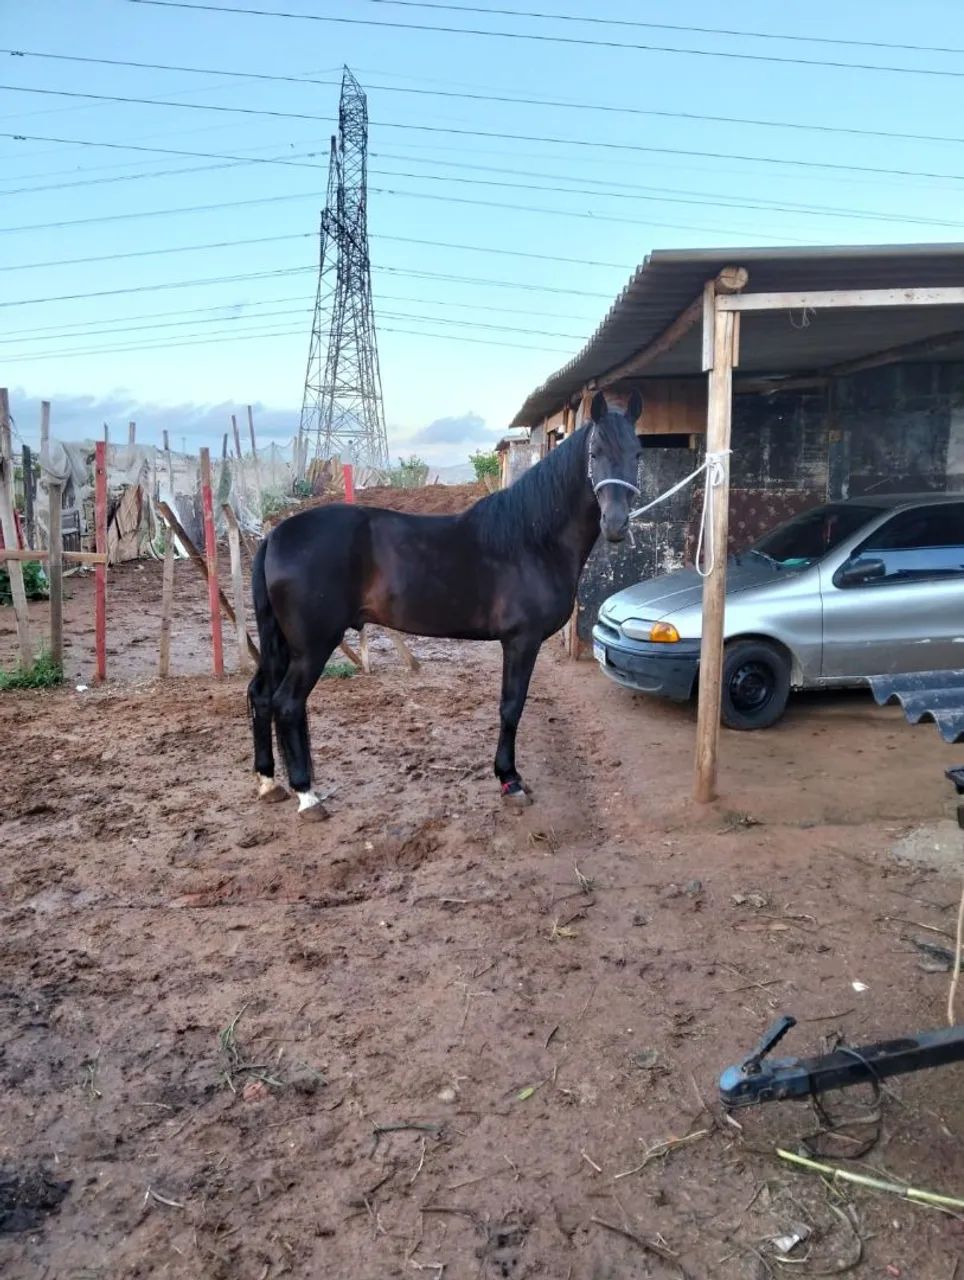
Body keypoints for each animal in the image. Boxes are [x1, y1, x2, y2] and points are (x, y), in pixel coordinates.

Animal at [247, 388, 643, 820]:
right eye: (595, 453)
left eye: (638, 453)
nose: (616, 524)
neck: (533, 540)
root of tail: (276, 535)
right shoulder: (521, 641)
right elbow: (511, 706)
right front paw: (510, 780)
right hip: (312, 646)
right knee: (287, 704)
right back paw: (307, 796)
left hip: (283, 644)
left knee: (261, 696)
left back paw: (269, 782)